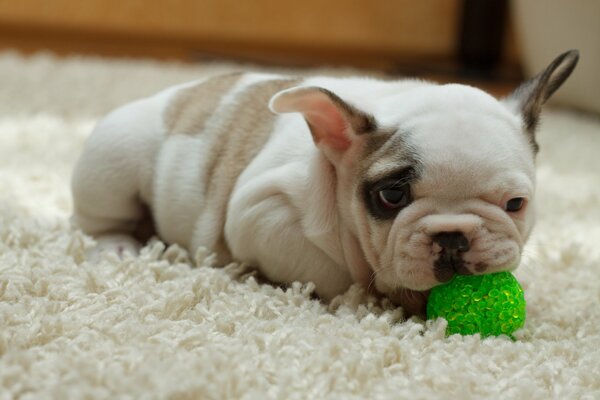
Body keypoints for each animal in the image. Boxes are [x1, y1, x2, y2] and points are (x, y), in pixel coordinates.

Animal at [72, 50, 580, 316]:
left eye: (515, 203)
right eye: (391, 196)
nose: (453, 237)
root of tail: (176, 93)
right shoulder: (261, 214)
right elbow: (329, 267)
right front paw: (379, 292)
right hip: (113, 161)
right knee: (97, 219)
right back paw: (120, 246)